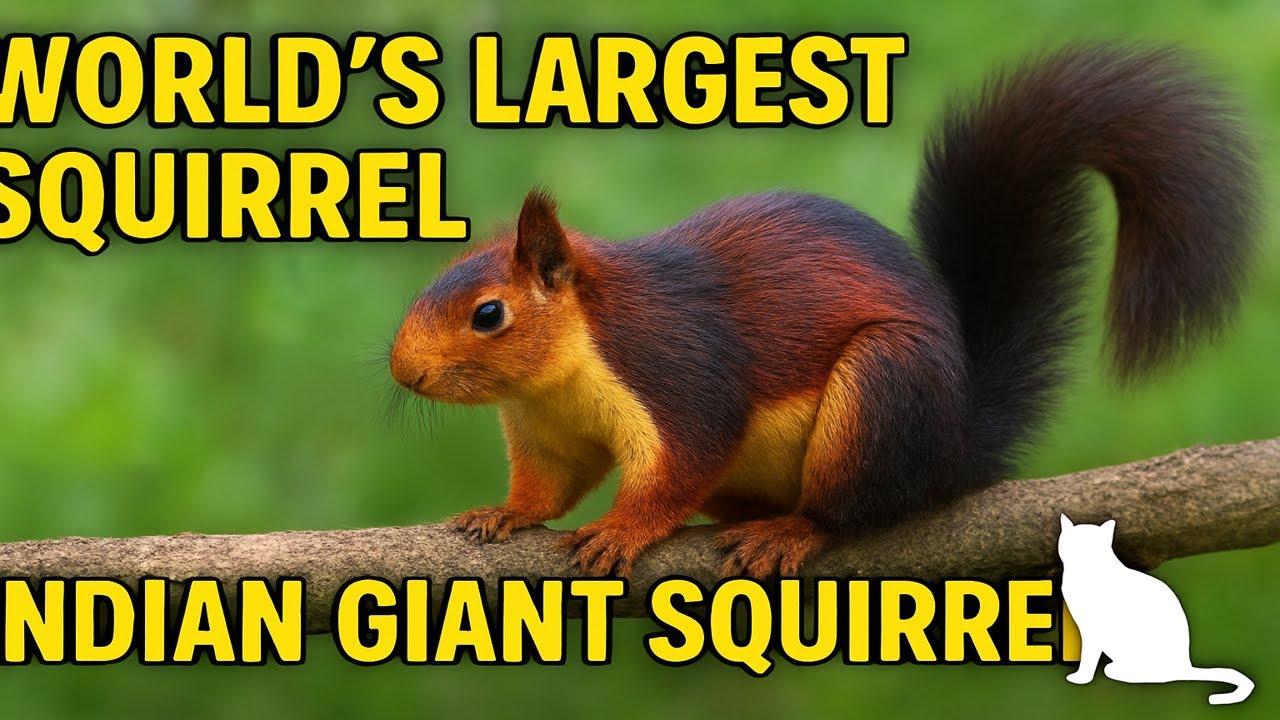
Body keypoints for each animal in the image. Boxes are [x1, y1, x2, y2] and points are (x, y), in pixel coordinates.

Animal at [389, 44, 1258, 577]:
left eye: (489, 314)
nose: (404, 373)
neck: (559, 375)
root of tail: (954, 451)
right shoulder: (548, 431)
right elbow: (549, 487)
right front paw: (503, 513)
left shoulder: (674, 369)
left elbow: (684, 459)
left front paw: (623, 529)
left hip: (881, 395)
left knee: (854, 509)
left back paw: (794, 530)